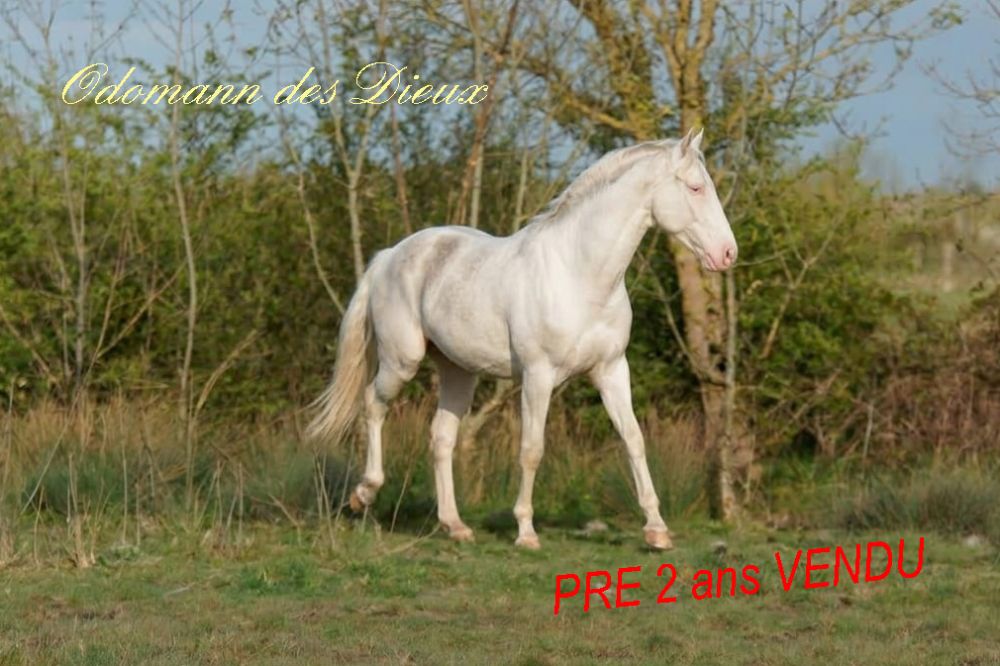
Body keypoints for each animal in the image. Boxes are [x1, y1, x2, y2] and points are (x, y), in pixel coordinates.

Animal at [307, 129, 737, 550]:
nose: (728, 254)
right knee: (372, 405)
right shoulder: (538, 375)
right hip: (402, 361)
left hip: (458, 371)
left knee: (441, 437)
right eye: (696, 187)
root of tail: (389, 256)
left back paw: (455, 525)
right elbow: (532, 450)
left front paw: (657, 530)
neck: (579, 274)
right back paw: (363, 494)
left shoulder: (612, 370)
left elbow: (633, 439)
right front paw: (526, 532)